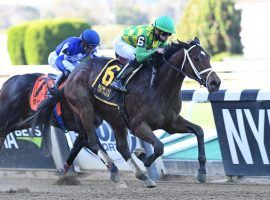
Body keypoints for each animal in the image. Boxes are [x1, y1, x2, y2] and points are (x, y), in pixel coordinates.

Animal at [32, 36, 221, 185]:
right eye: (196, 59)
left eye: (208, 56)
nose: (215, 83)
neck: (158, 87)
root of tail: (73, 73)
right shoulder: (138, 125)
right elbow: (159, 147)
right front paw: (143, 156)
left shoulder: (171, 122)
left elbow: (199, 131)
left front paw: (202, 171)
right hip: (85, 110)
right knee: (92, 141)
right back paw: (115, 172)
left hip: (115, 118)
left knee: (121, 147)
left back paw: (141, 177)